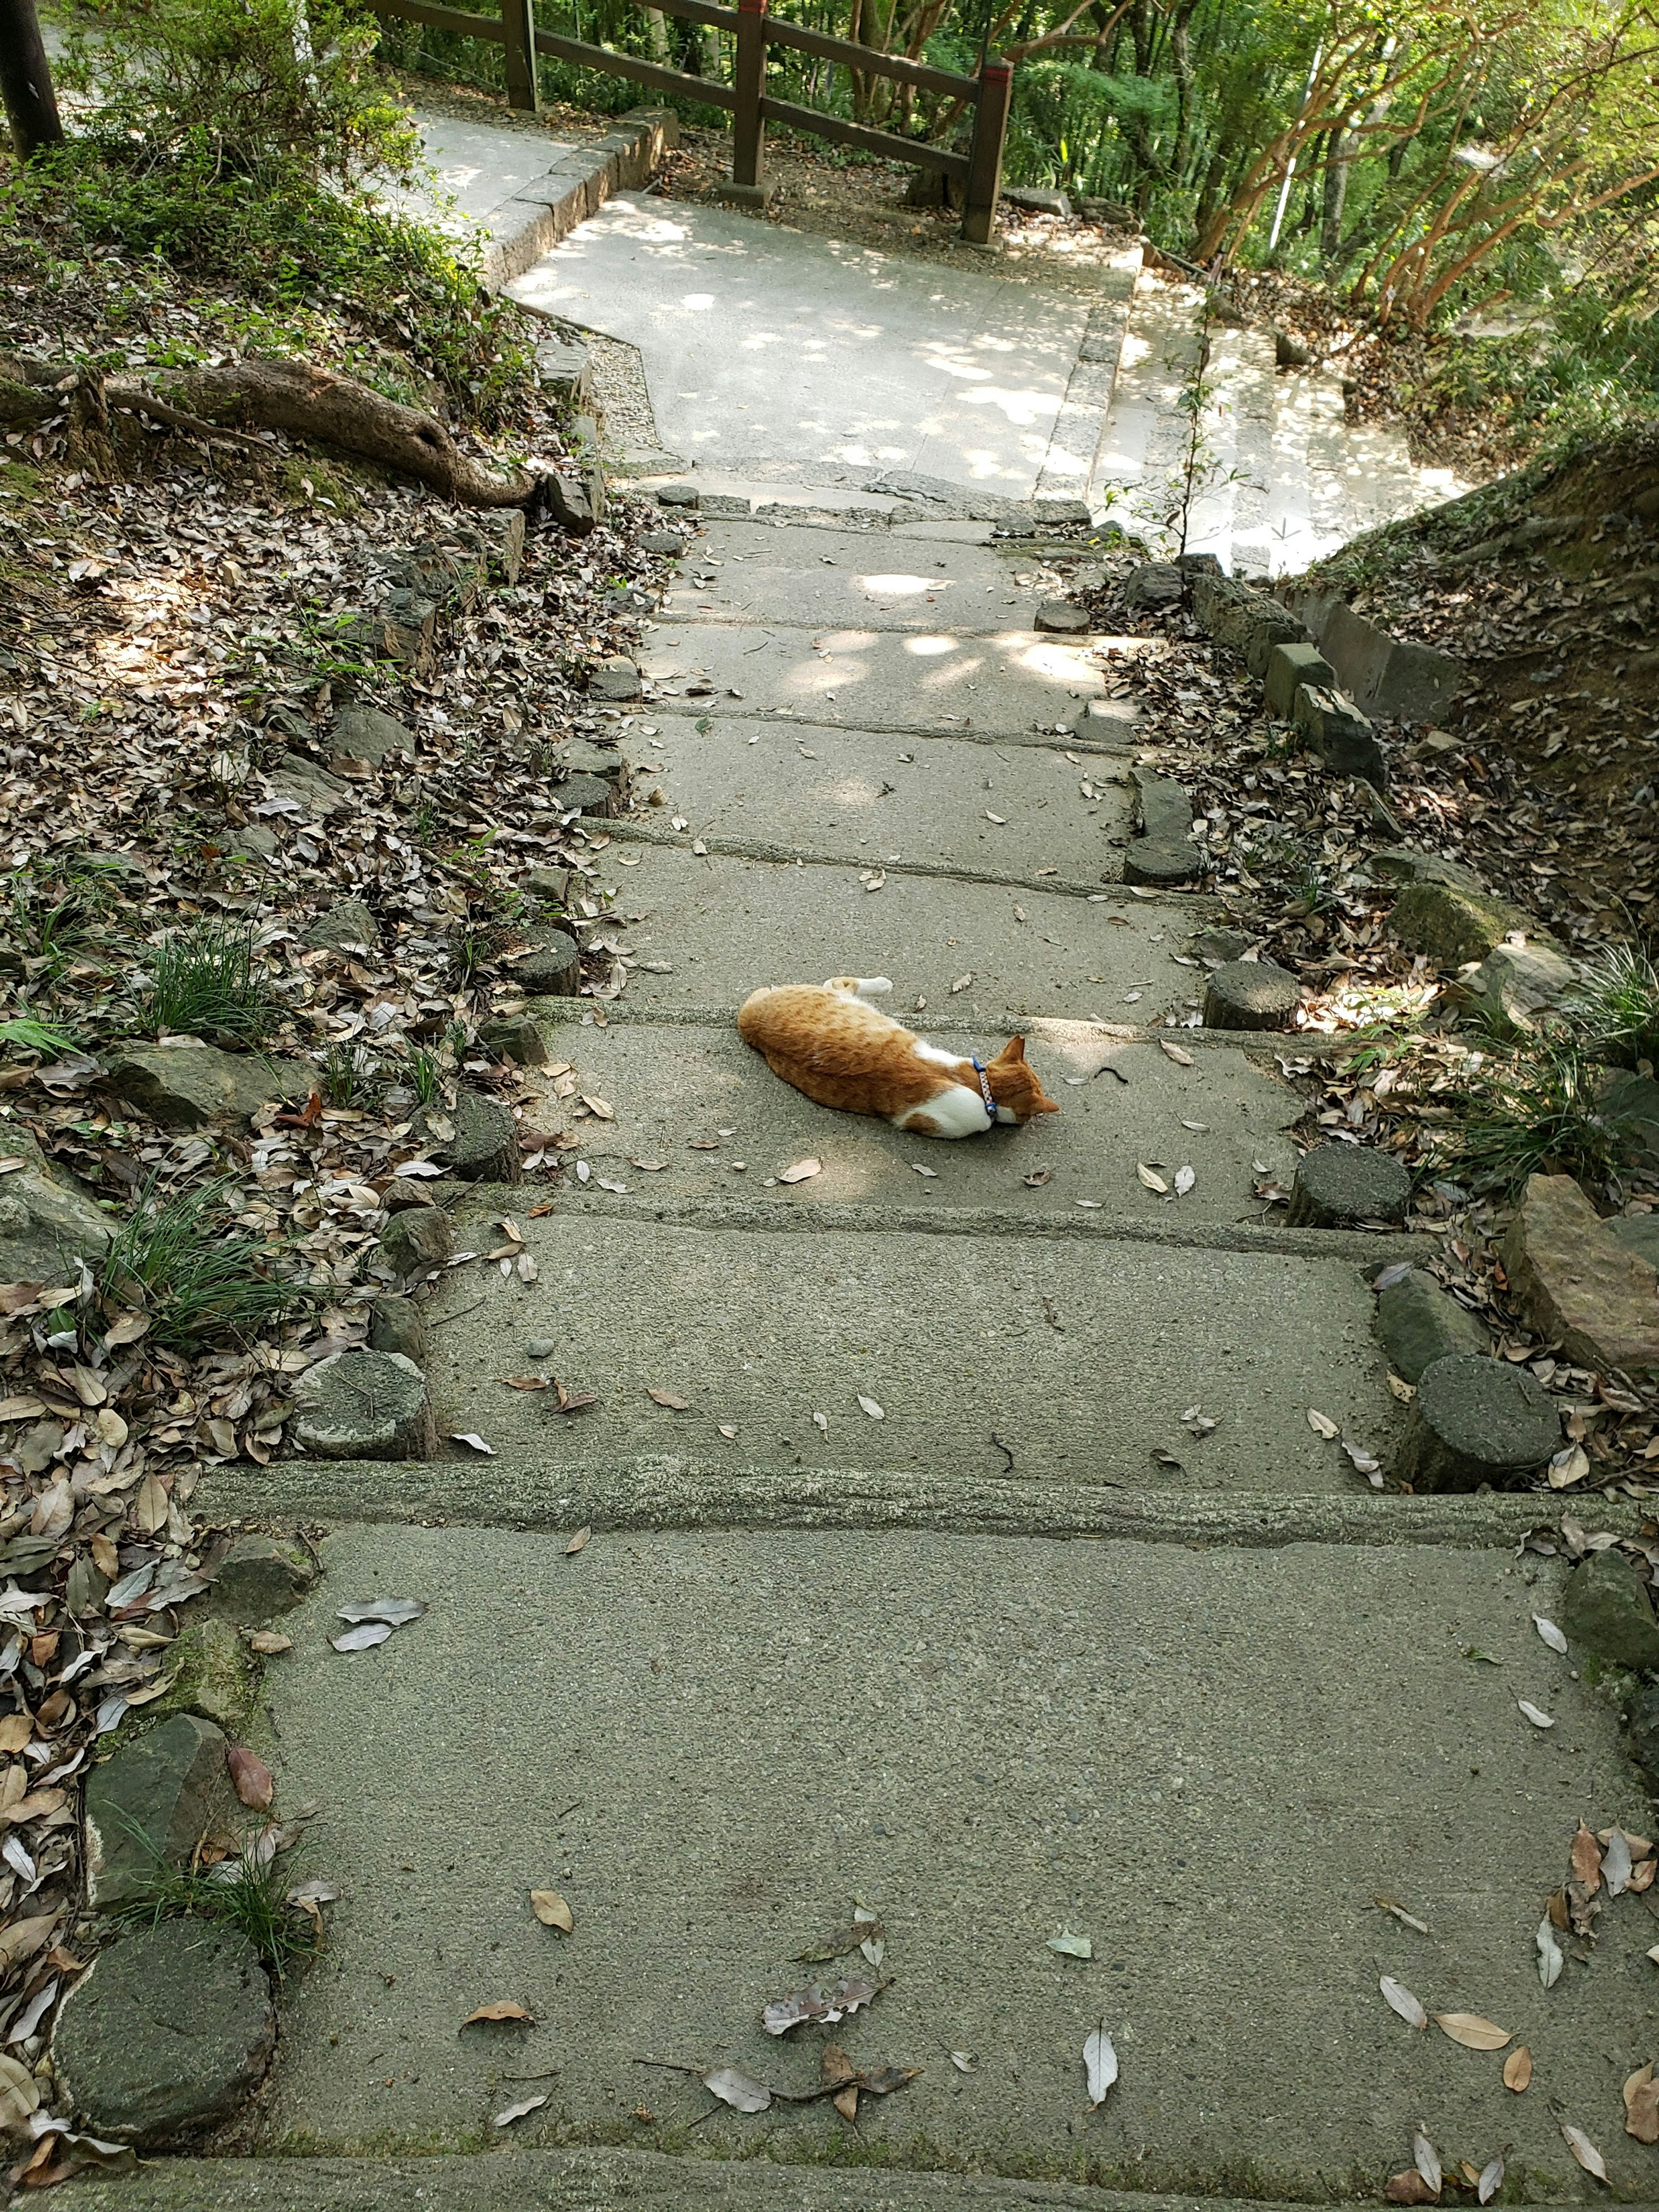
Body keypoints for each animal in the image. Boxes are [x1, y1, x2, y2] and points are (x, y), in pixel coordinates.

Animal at [743, 973, 1066, 1141]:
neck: (983, 1087)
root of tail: (750, 1017)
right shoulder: (937, 1121)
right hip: (841, 997)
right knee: (837, 983)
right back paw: (883, 984)